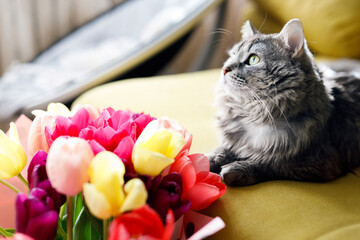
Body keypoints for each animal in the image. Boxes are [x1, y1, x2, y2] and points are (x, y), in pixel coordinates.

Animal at [210, 19, 360, 188]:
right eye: (232, 55)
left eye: (253, 59)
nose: (224, 69)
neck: (254, 114)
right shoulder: (235, 140)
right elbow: (221, 151)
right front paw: (206, 160)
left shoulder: (323, 162)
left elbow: (272, 162)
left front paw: (237, 169)